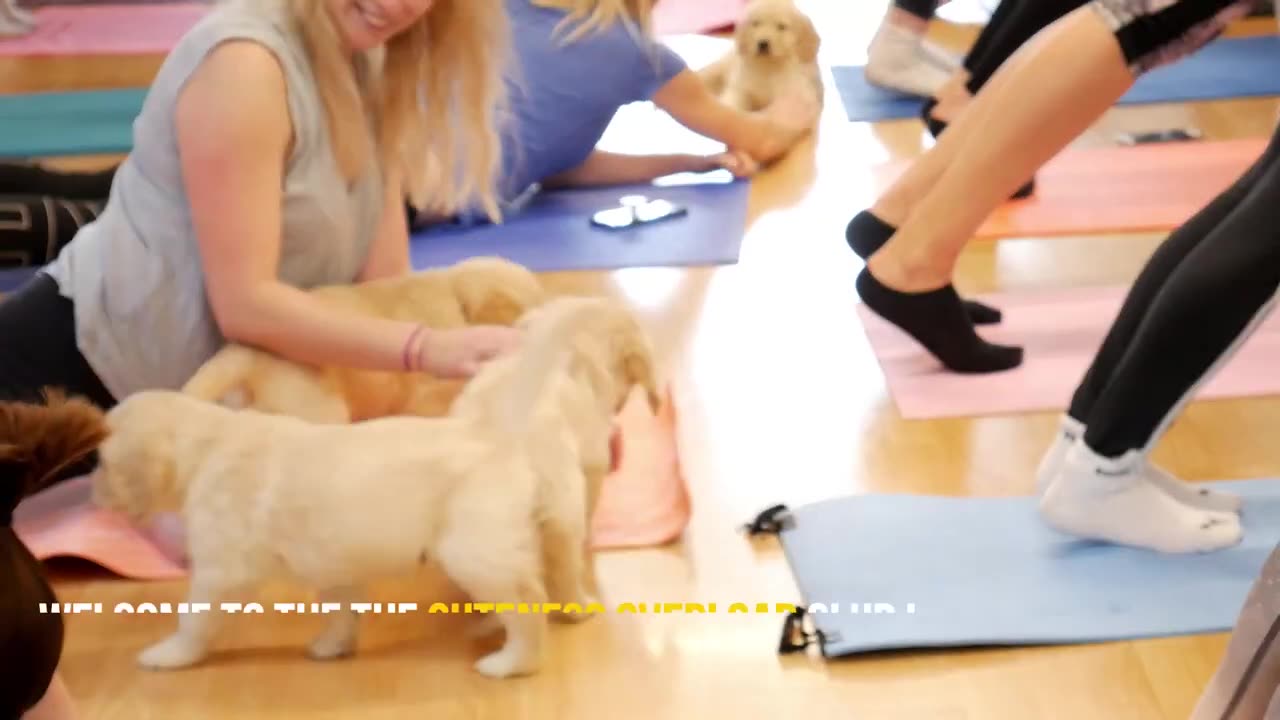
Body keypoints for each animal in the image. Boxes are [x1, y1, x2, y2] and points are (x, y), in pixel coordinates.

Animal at [73, 294, 660, 676]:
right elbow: (341, 607)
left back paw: (512, 661)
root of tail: (496, 429)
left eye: (101, 463)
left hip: (475, 546)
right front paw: (332, 646)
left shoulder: (222, 569)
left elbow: (194, 618)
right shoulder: (336, 565)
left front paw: (168, 655)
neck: (208, 444)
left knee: (527, 595)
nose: (92, 496)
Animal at [696, 0, 824, 112]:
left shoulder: (793, 93)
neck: (766, 66)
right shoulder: (740, 88)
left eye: (781, 27)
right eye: (756, 24)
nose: (763, 44)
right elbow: (734, 103)